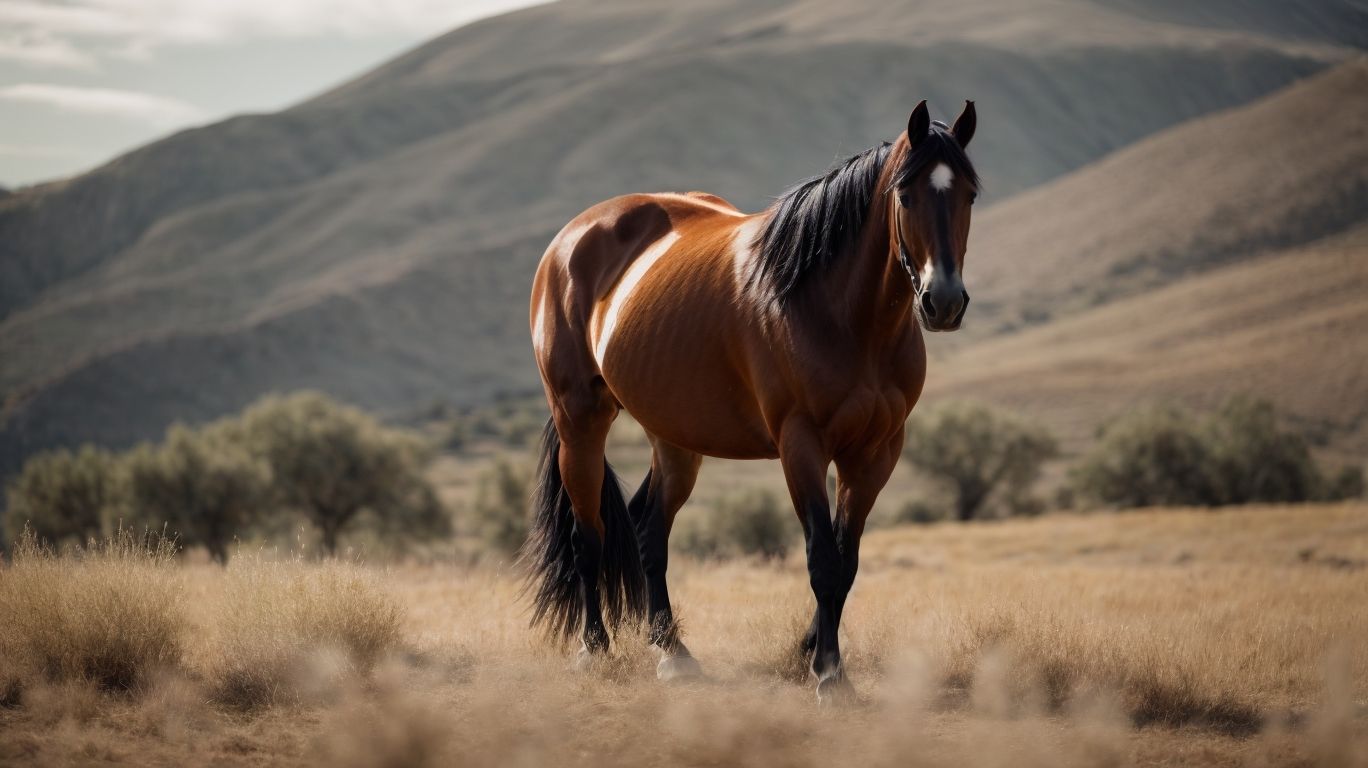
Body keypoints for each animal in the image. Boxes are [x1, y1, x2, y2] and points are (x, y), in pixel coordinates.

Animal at [524, 100, 979, 703]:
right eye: (905, 196)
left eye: (969, 193)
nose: (943, 302)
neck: (836, 309)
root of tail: (569, 240)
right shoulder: (801, 444)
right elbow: (822, 559)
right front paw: (829, 674)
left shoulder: (876, 452)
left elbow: (847, 561)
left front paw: (812, 650)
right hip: (580, 420)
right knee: (587, 534)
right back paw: (593, 649)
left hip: (673, 436)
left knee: (649, 529)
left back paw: (673, 653)